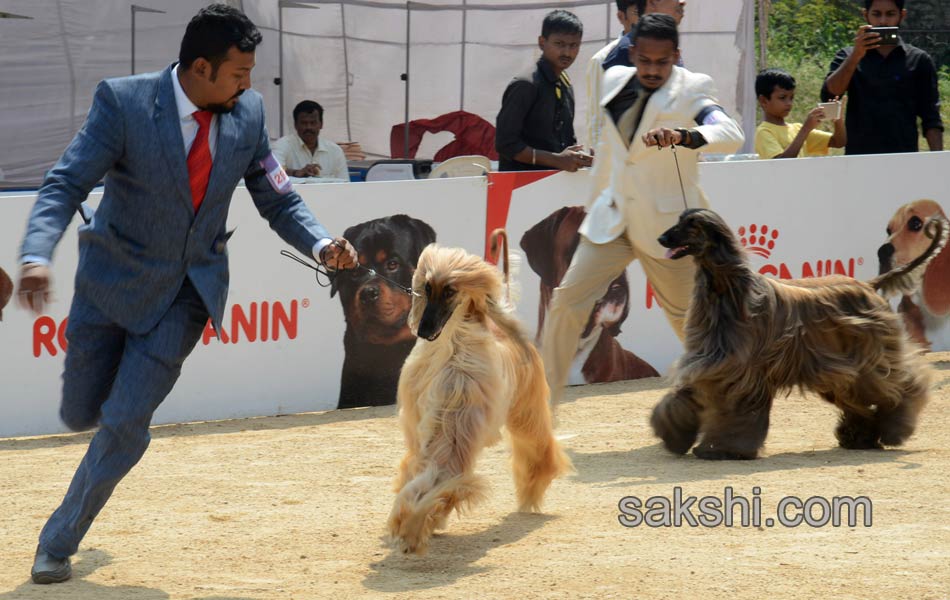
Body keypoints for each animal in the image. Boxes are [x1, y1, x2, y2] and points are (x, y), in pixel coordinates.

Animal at [386, 230, 572, 552]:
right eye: (427, 287)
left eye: (450, 291)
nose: (423, 330)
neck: (450, 346)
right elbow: (420, 466)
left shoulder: (454, 416)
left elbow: (442, 474)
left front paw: (413, 524)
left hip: (526, 409)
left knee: (538, 450)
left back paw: (531, 494)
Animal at [652, 209, 948, 462]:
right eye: (679, 220)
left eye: (691, 224)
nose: (661, 238)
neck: (726, 288)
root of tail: (869, 285)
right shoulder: (711, 362)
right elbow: (683, 396)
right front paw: (673, 435)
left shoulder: (742, 370)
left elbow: (738, 413)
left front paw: (724, 449)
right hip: (838, 370)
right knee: (861, 401)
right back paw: (859, 437)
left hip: (869, 359)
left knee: (905, 385)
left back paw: (894, 429)